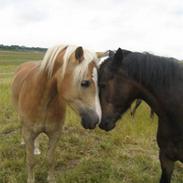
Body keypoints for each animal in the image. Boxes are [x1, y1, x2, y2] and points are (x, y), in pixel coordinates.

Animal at [11, 44, 106, 183]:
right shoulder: (28, 134)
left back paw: (37, 149)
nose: (96, 120)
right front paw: (31, 179)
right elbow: (31, 161)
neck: (43, 98)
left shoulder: (55, 133)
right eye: (84, 83)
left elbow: (51, 159)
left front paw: (51, 179)